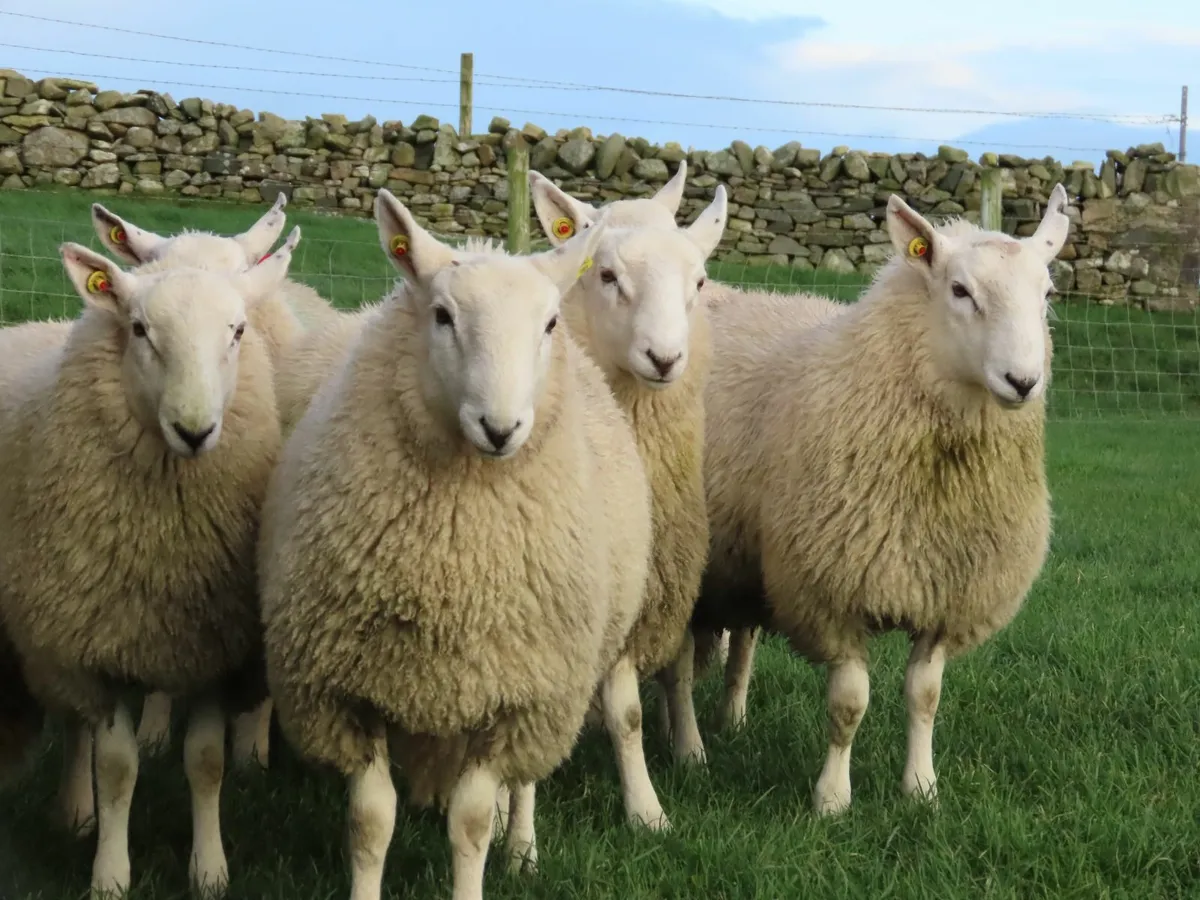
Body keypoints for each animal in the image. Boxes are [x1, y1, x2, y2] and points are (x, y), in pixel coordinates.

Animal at [0, 230, 300, 898]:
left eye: (238, 331)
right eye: (139, 329)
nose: (194, 429)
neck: (168, 540)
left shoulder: (215, 646)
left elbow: (207, 762)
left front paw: (209, 870)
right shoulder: (100, 644)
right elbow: (116, 767)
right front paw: (110, 874)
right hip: (57, 625)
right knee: (77, 725)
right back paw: (78, 812)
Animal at [258, 189, 658, 900]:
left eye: (549, 325)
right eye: (442, 315)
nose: (500, 428)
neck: (452, 563)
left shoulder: (513, 695)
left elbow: (469, 824)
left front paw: (490, 847)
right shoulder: (348, 694)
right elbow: (370, 822)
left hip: (551, 683)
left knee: (524, 782)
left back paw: (521, 845)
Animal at [526, 163, 728, 779]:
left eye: (700, 282)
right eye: (608, 275)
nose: (664, 358)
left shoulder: (673, 575)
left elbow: (678, 670)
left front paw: (690, 749)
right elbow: (625, 714)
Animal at [689, 184, 1070, 815]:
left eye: (1047, 294)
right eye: (960, 291)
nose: (1023, 382)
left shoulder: (946, 595)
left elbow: (925, 697)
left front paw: (921, 788)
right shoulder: (832, 592)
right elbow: (849, 705)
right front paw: (832, 799)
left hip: (740, 563)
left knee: (737, 642)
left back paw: (730, 719)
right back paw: (689, 741)